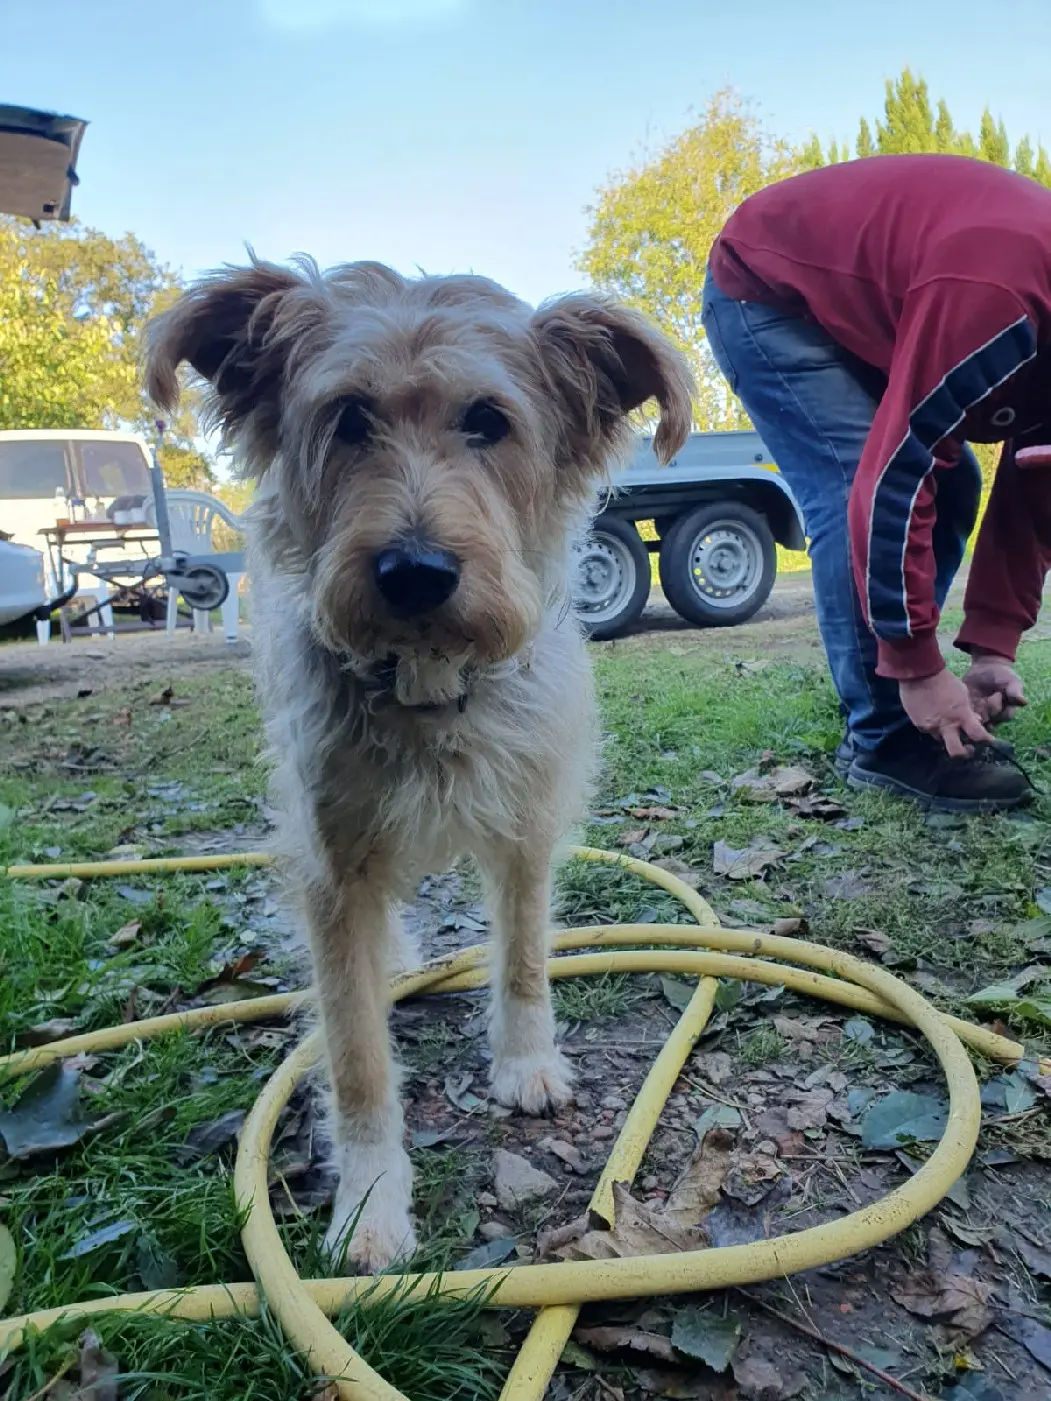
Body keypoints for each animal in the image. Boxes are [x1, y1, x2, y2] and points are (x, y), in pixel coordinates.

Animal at [144, 257, 695, 1277]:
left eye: (489, 420)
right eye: (348, 417)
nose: (414, 572)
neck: (429, 679)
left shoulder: (525, 826)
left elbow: (522, 957)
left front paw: (525, 1062)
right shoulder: (333, 866)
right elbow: (356, 1052)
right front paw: (368, 1203)